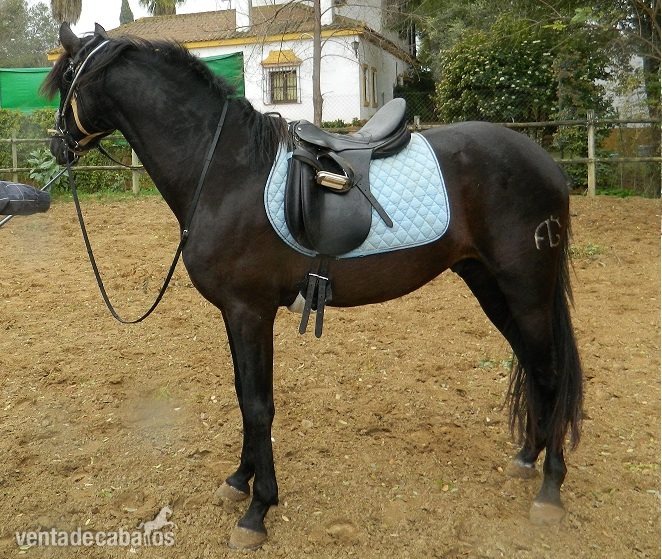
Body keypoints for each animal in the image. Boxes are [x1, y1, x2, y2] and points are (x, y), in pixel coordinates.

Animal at [44, 23, 583, 550]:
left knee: (551, 371)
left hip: (526, 288)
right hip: (489, 284)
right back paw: (527, 458)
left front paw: (258, 509)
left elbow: (258, 405)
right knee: (533, 364)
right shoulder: (234, 313)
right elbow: (243, 393)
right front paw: (239, 481)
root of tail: (546, 162)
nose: (56, 145)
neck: (224, 171)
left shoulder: (250, 311)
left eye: (66, 78)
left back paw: (551, 489)